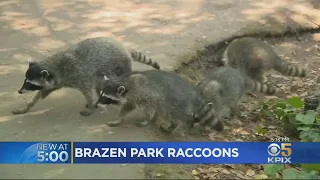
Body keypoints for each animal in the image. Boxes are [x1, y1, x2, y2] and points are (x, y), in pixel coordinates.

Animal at [12, 36, 160, 116]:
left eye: (31, 83)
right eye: (25, 80)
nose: (19, 91)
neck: (56, 67)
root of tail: (125, 49)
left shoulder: (80, 74)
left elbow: (87, 91)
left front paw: (90, 105)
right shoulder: (55, 82)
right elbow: (42, 93)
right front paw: (27, 105)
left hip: (119, 67)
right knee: (100, 84)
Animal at [96, 69, 224, 134]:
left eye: (105, 98)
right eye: (101, 95)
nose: (96, 105)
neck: (124, 82)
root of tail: (193, 93)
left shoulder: (145, 94)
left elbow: (149, 109)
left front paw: (147, 120)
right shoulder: (132, 98)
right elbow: (126, 107)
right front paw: (118, 119)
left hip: (176, 103)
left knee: (174, 115)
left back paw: (174, 125)